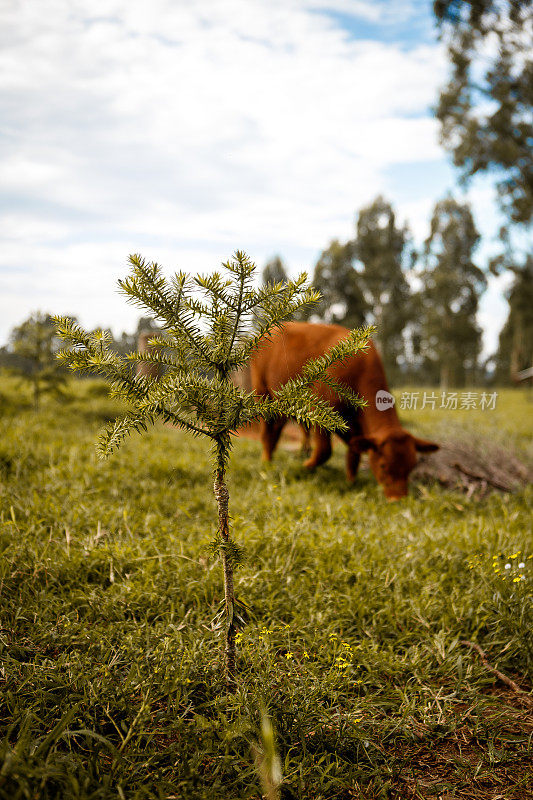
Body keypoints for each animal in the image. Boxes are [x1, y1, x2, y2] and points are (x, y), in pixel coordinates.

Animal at [249, 320, 436, 500]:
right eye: (383, 466)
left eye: (411, 467)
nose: (397, 499)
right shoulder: (320, 411)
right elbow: (324, 451)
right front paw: (305, 467)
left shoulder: (354, 424)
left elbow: (354, 452)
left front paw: (351, 482)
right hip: (262, 391)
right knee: (267, 433)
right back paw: (267, 463)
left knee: (279, 430)